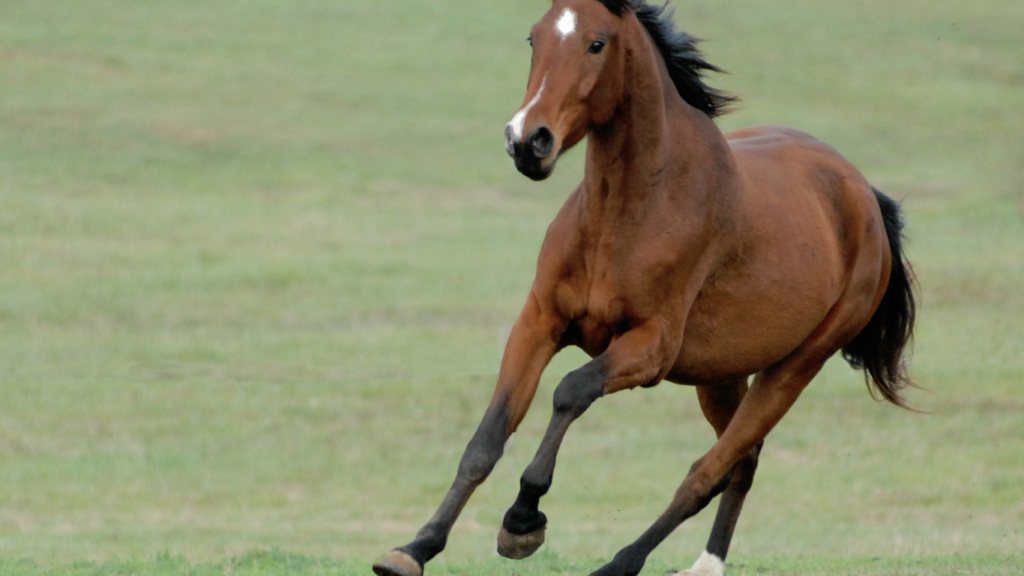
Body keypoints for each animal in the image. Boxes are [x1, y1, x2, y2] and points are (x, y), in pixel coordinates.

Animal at [372, 1, 917, 573]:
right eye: (533, 38)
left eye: (597, 43)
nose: (526, 141)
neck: (629, 210)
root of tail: (865, 197)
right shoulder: (539, 322)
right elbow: (487, 439)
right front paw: (414, 548)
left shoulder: (651, 347)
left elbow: (571, 391)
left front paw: (523, 519)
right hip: (721, 374)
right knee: (742, 461)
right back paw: (704, 564)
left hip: (796, 367)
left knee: (708, 471)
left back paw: (621, 562)